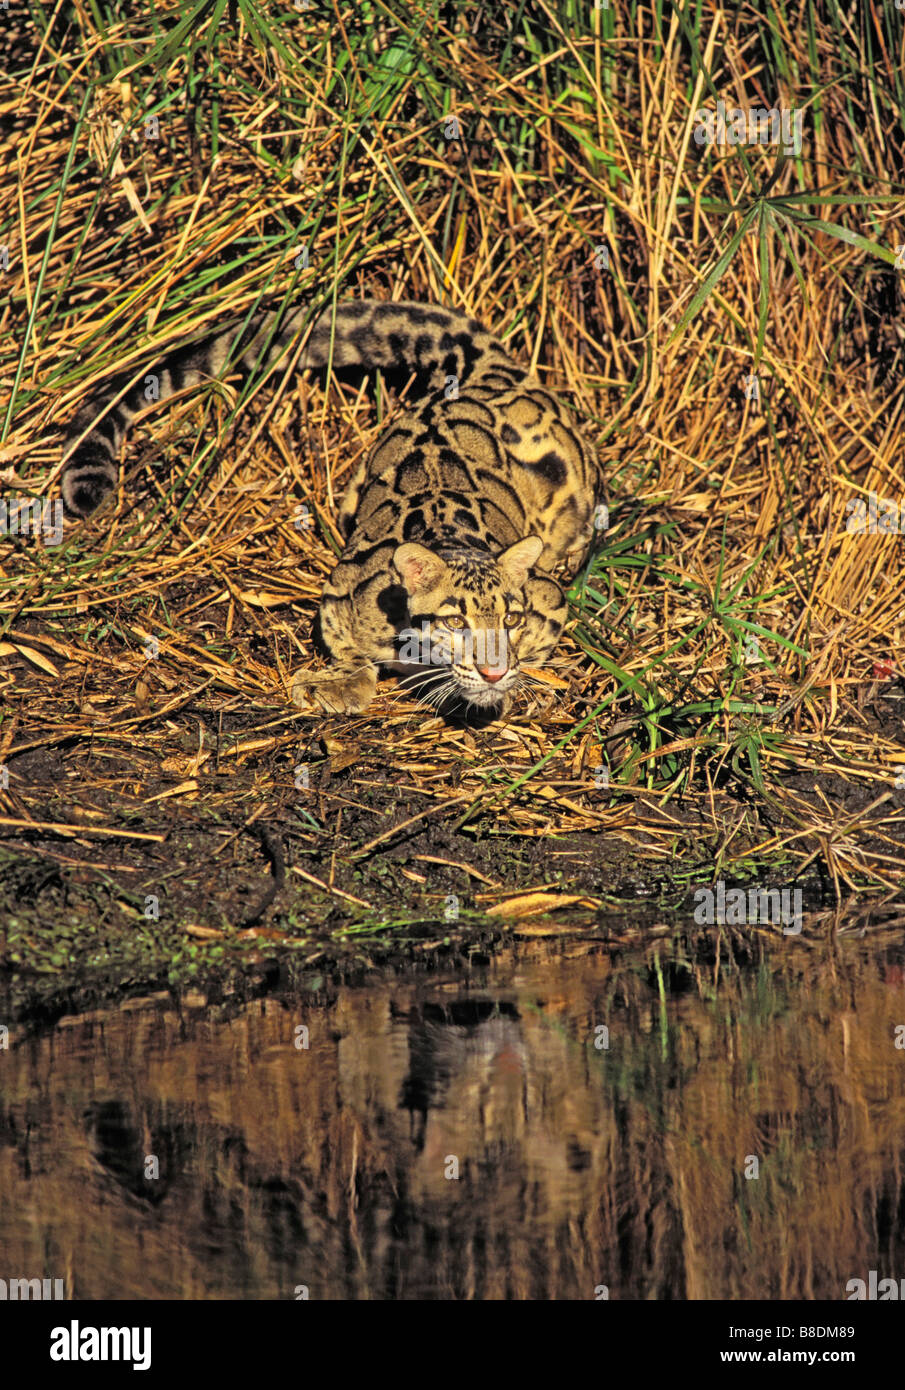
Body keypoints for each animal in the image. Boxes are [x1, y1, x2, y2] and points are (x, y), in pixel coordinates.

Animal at [61, 299, 601, 718]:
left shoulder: (548, 598)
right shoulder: (342, 592)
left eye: (510, 620)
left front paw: (504, 684)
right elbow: (350, 649)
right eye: (454, 623)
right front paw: (336, 683)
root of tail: (482, 369)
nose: (493, 670)